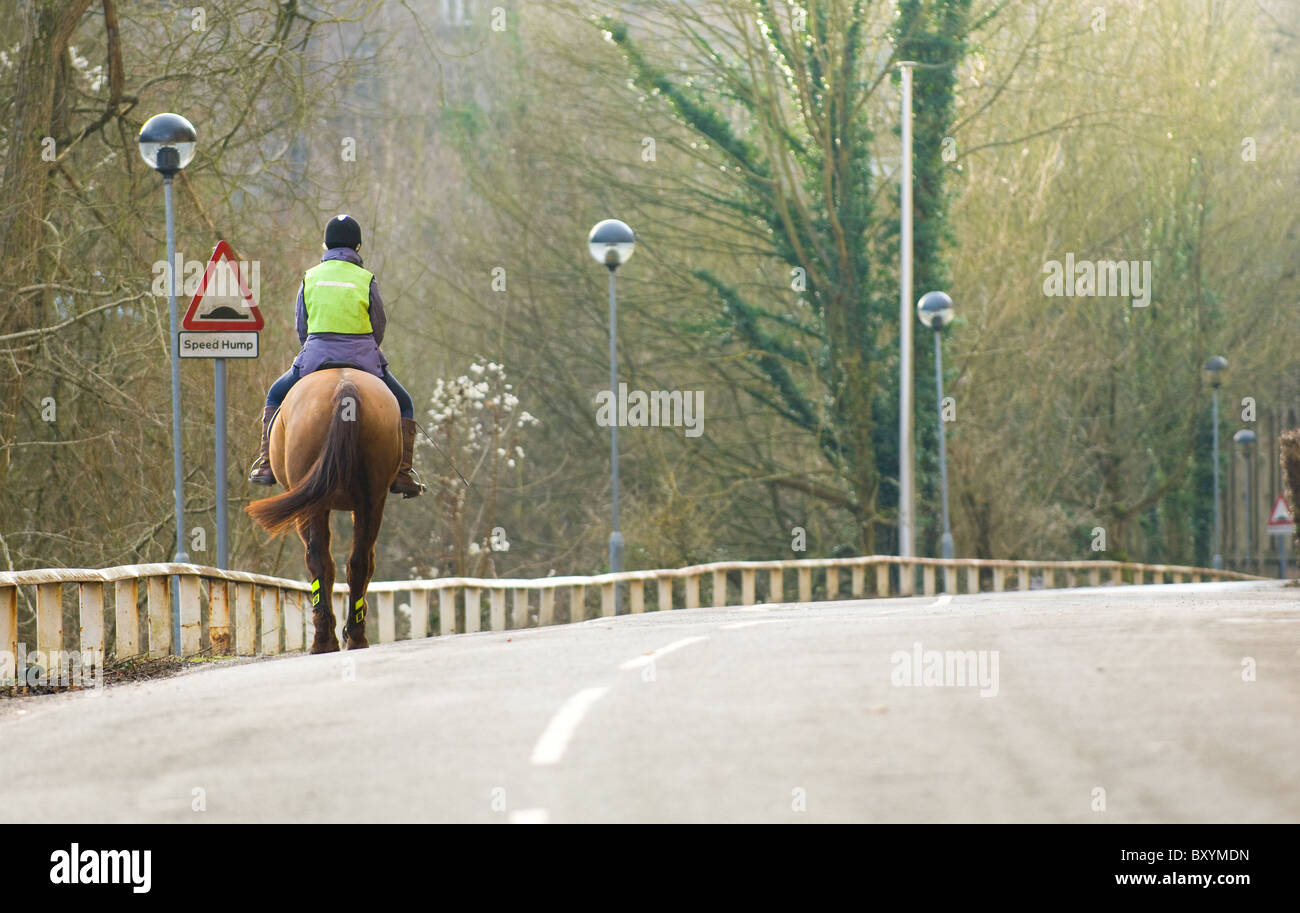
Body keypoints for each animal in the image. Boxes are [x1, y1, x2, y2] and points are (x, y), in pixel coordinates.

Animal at [244, 369, 400, 655]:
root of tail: (344, 386)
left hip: (314, 504)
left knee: (321, 557)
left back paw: (326, 639)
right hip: (370, 499)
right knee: (357, 560)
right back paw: (351, 636)